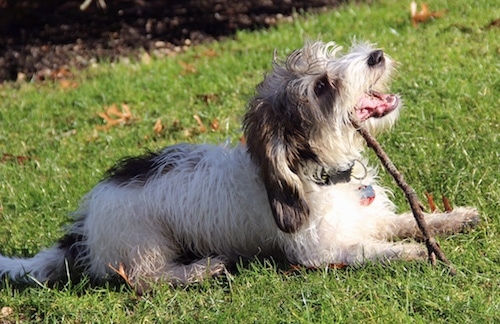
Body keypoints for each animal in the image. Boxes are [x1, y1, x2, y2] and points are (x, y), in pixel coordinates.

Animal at [0, 39, 478, 290]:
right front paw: (411, 254)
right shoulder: (320, 252)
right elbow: (369, 250)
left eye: (332, 55)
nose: (376, 54)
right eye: (322, 86)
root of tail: (81, 228)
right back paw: (202, 267)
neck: (324, 175)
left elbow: (408, 221)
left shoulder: (368, 218)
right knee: (145, 279)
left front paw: (454, 218)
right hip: (143, 244)